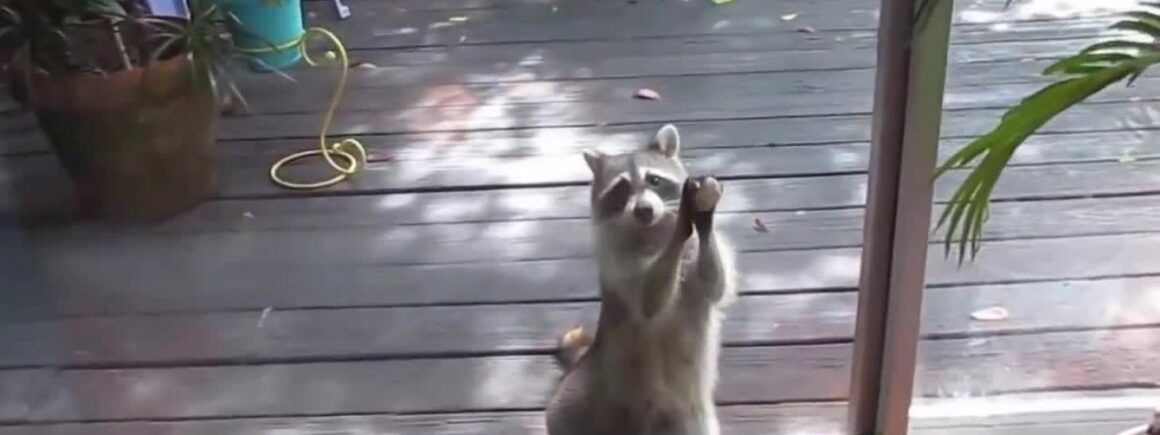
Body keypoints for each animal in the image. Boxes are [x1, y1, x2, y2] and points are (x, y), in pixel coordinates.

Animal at [545, 124, 738, 435]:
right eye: (622, 188)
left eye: (654, 180)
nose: (644, 209)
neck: (652, 232)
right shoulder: (618, 262)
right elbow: (649, 300)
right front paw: (683, 220)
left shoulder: (697, 257)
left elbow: (713, 284)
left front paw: (703, 215)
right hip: (583, 391)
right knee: (563, 411)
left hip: (690, 420)